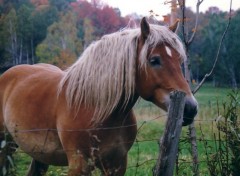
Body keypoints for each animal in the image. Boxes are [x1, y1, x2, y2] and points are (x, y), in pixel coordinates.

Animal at [0, 17, 198, 175]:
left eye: (180, 60)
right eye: (154, 60)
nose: (190, 108)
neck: (95, 108)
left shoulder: (117, 164)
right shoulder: (79, 165)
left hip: (39, 154)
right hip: (5, 145)